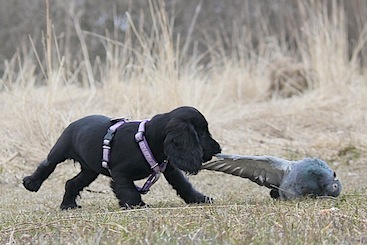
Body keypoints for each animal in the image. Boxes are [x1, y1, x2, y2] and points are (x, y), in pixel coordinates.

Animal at [23, 106, 221, 210]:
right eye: (201, 134)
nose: (218, 148)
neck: (148, 138)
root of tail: (76, 122)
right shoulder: (120, 173)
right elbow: (129, 190)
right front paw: (137, 205)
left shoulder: (170, 169)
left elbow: (184, 185)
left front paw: (199, 198)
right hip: (60, 151)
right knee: (46, 165)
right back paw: (32, 183)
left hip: (90, 171)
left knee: (72, 183)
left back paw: (68, 205)